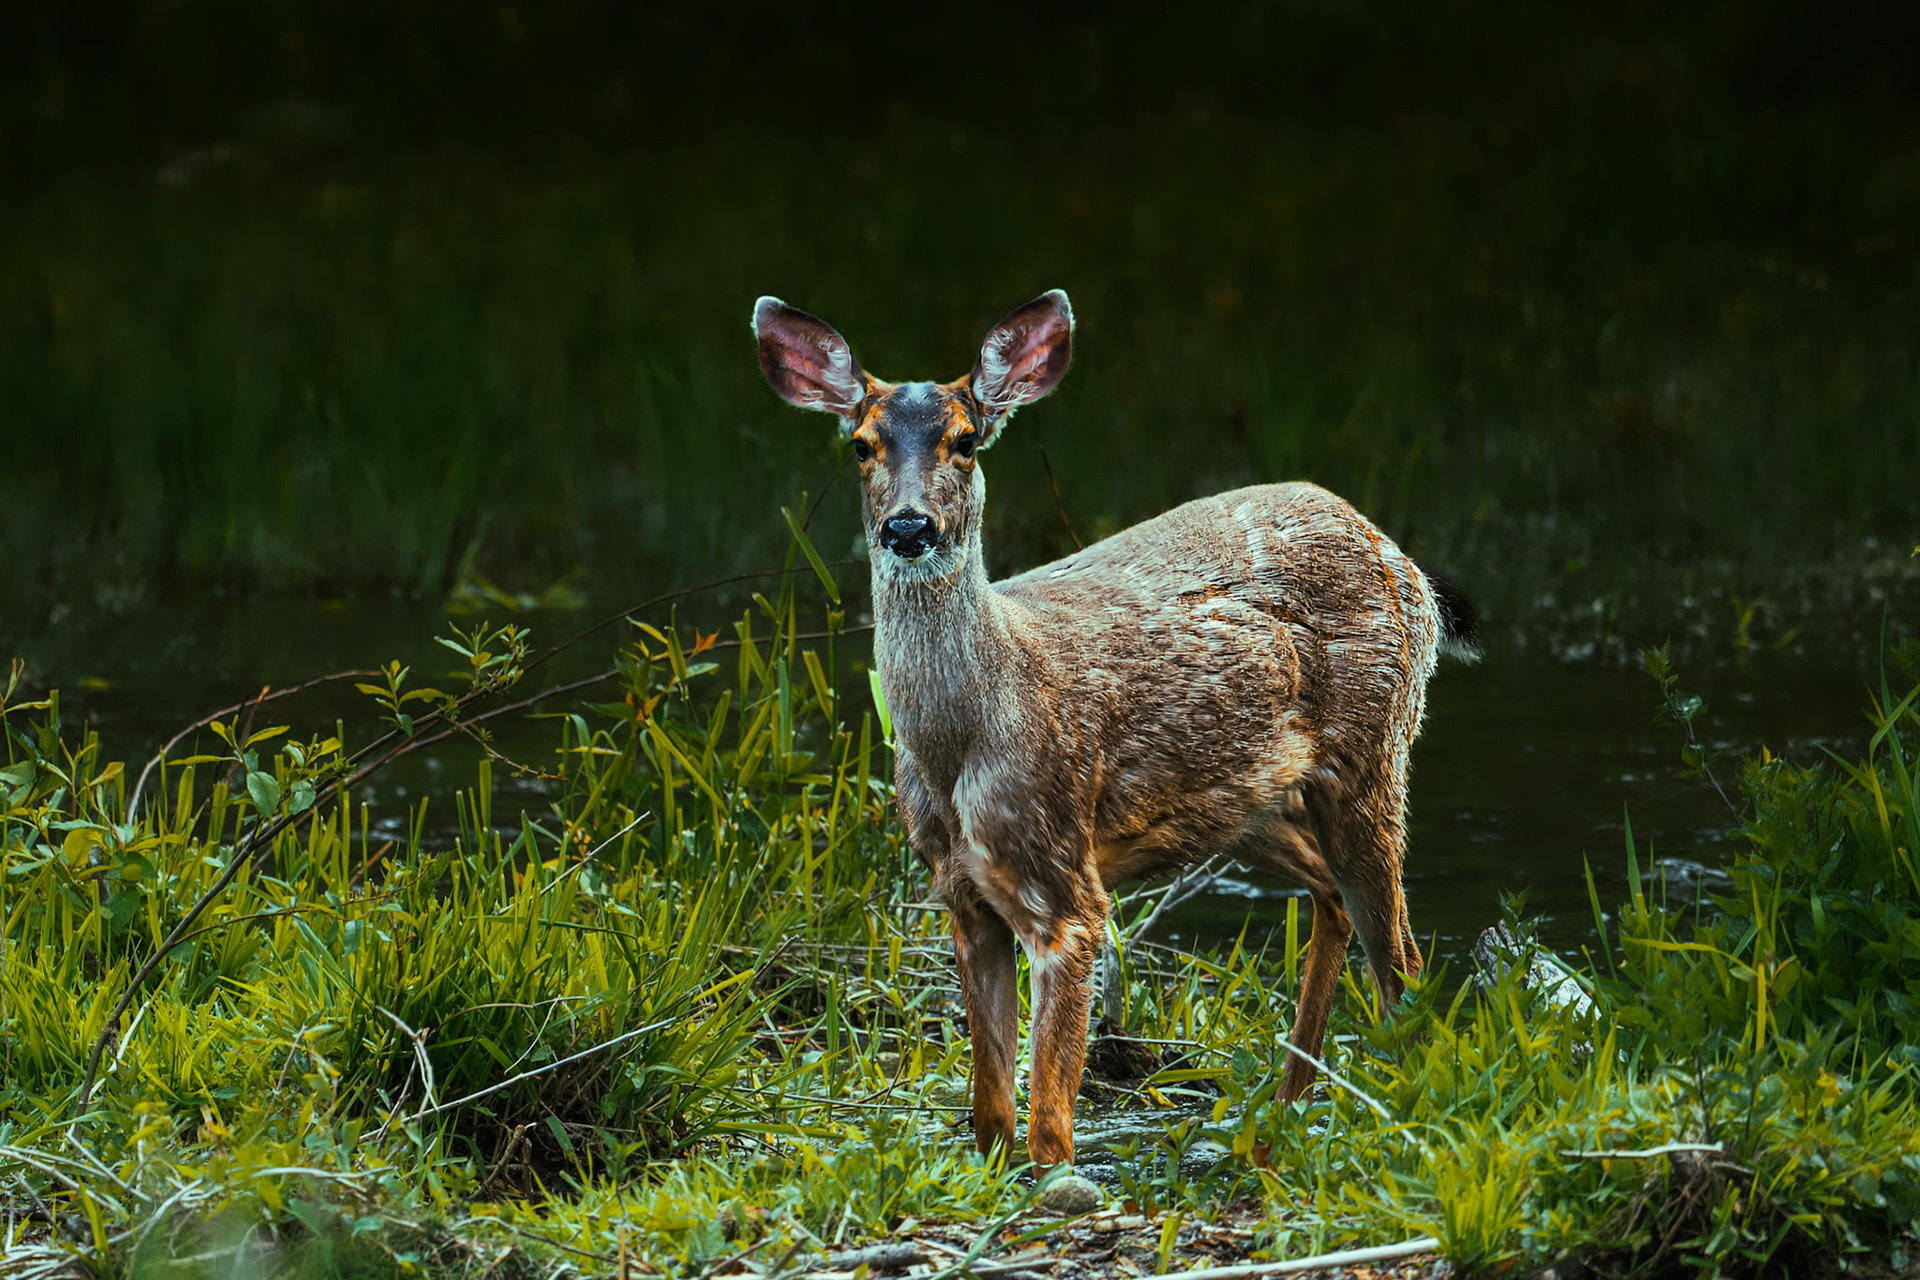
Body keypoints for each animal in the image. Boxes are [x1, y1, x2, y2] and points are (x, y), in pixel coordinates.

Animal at [753, 289, 1479, 1173]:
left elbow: (1047, 1128)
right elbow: (990, 1113)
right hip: (1249, 806)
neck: (964, 741)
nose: (909, 527)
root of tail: (1398, 556)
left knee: (1401, 951)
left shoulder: (1067, 886)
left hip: (1372, 748)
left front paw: (1058, 1181)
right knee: (1332, 898)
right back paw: (1283, 1107)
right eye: (861, 444)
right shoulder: (961, 892)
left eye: (966, 439)